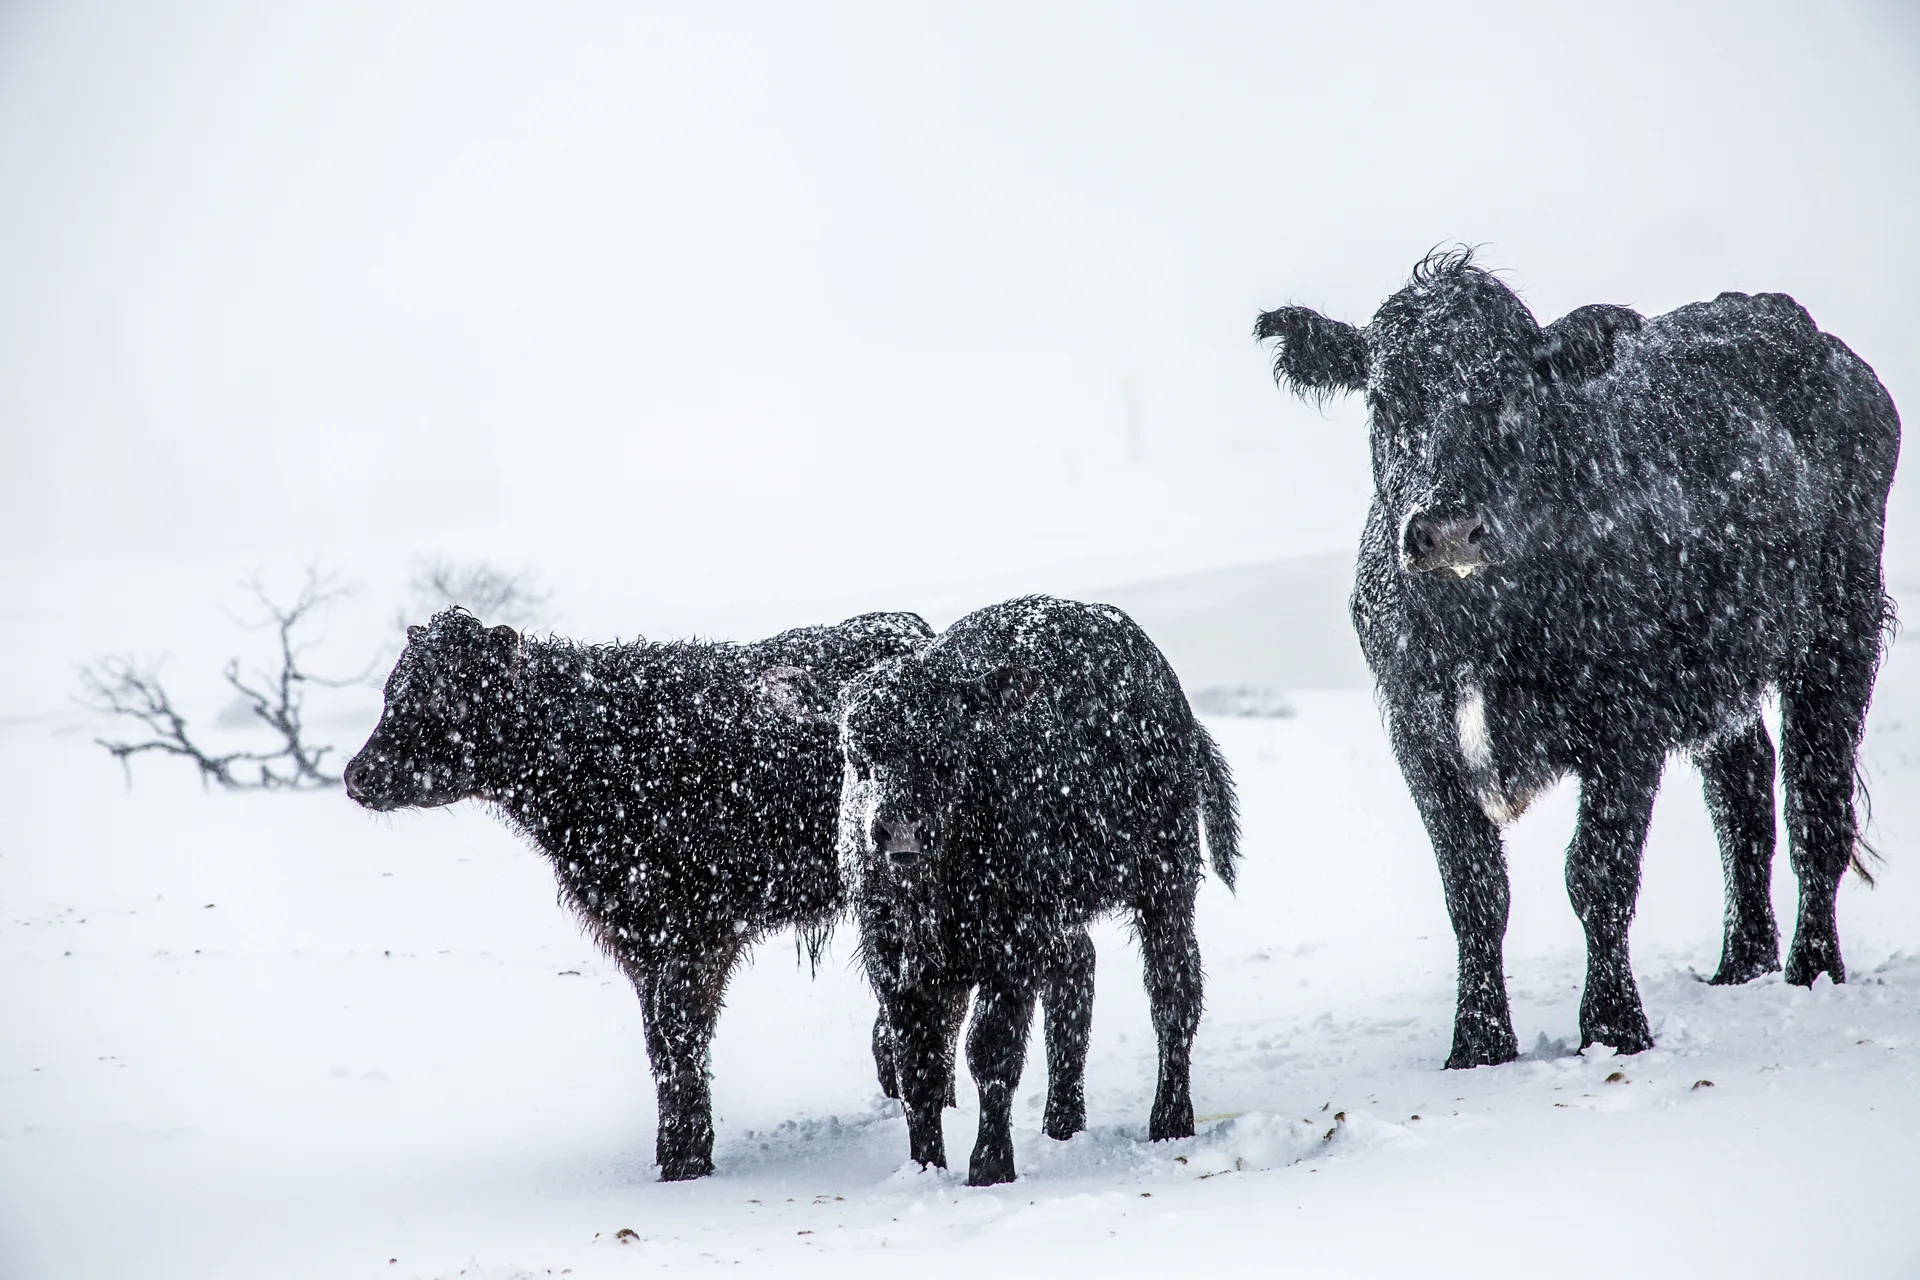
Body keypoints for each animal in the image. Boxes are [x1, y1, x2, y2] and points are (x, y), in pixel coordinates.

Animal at [767, 595, 1240, 1184]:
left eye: (945, 751)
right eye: (856, 754)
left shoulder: (1010, 952)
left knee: (1173, 992)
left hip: (1165, 884)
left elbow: (991, 1052)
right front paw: (925, 1167)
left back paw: (1170, 1120)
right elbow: (918, 1065)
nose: (900, 829)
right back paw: (1062, 1120)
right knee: (1075, 976)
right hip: (1069, 914)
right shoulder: (894, 960)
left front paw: (990, 1165)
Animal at [1255, 246, 1900, 1068]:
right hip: (1722, 667)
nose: (1449, 528)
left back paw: (1811, 968)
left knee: (1815, 804)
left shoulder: (1627, 725)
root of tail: (1795, 324)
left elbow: (1597, 875)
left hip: (1840, 629)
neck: (1484, 623)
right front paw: (1479, 1043)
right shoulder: (1417, 732)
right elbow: (1473, 888)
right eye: (1386, 400)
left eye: (1510, 394)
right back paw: (1740, 962)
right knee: (1744, 791)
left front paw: (1615, 1027)